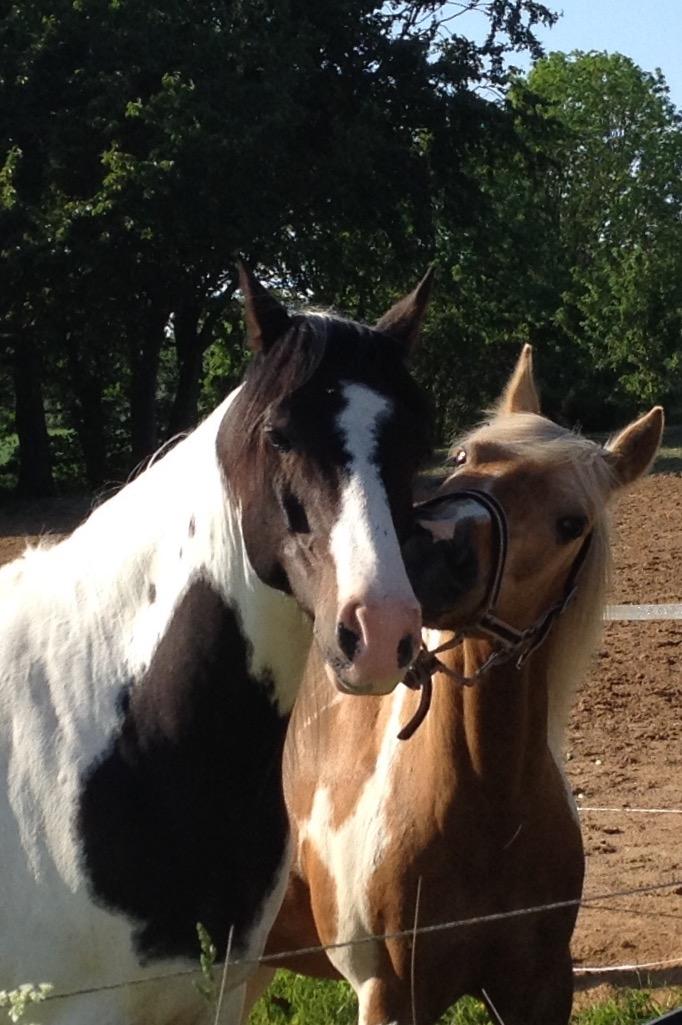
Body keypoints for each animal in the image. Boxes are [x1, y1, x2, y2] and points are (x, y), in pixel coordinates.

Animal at [247, 345, 664, 1025]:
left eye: (570, 522)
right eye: (465, 458)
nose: (428, 553)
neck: (486, 810)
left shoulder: (539, 990)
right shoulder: (391, 997)